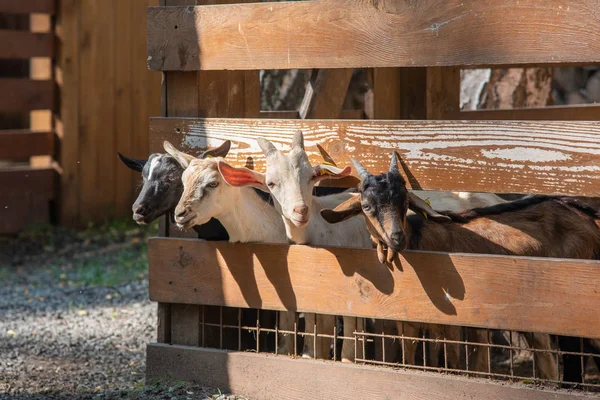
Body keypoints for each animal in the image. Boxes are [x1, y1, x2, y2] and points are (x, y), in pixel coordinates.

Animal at [322, 152, 600, 382]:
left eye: (405, 202)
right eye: (367, 206)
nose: (396, 237)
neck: (419, 239)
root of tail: (588, 217)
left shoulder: (453, 323)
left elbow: (454, 365)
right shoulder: (409, 324)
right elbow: (411, 362)